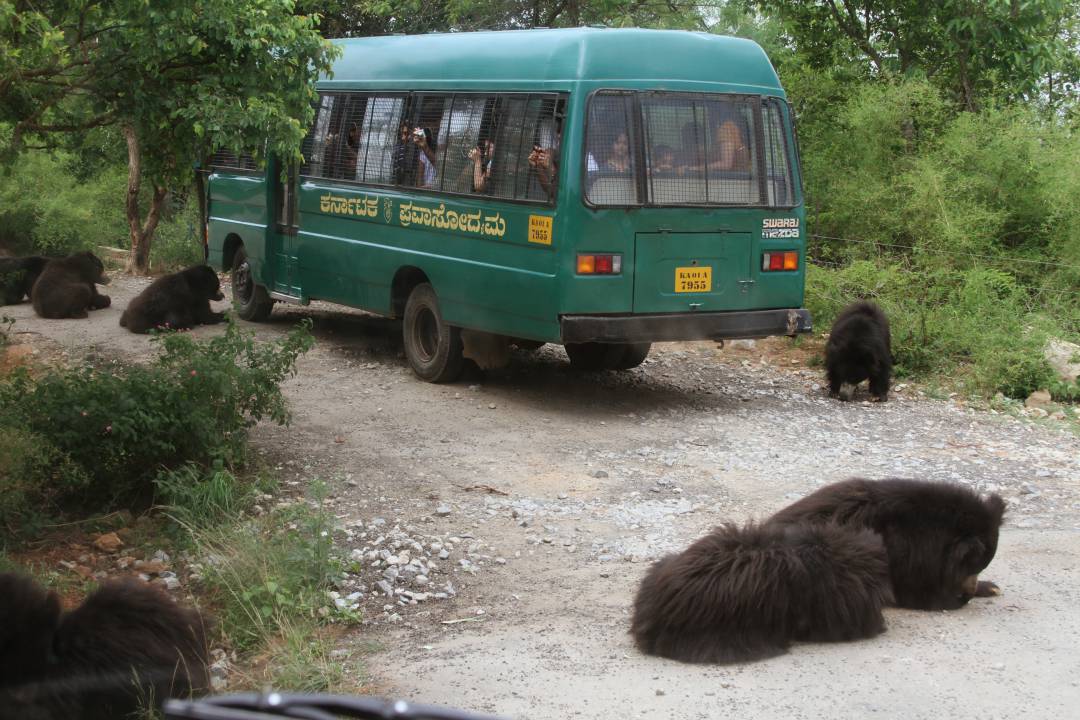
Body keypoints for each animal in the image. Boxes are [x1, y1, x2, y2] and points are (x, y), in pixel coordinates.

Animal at [768, 479, 1002, 608]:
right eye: (973, 567)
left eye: (981, 568)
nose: (968, 593)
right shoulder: (906, 552)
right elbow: (917, 593)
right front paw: (954, 599)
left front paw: (990, 587)